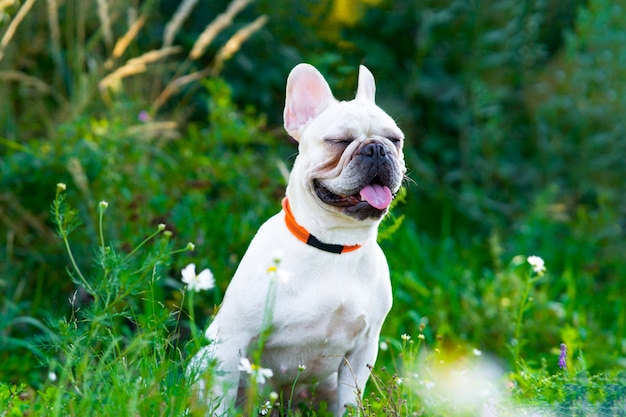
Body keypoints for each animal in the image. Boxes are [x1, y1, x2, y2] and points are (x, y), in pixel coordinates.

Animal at [190, 63, 404, 414]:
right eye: (338, 140)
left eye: (395, 140)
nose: (377, 149)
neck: (334, 244)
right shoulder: (233, 339)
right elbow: (217, 404)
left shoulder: (362, 353)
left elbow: (351, 403)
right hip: (207, 357)